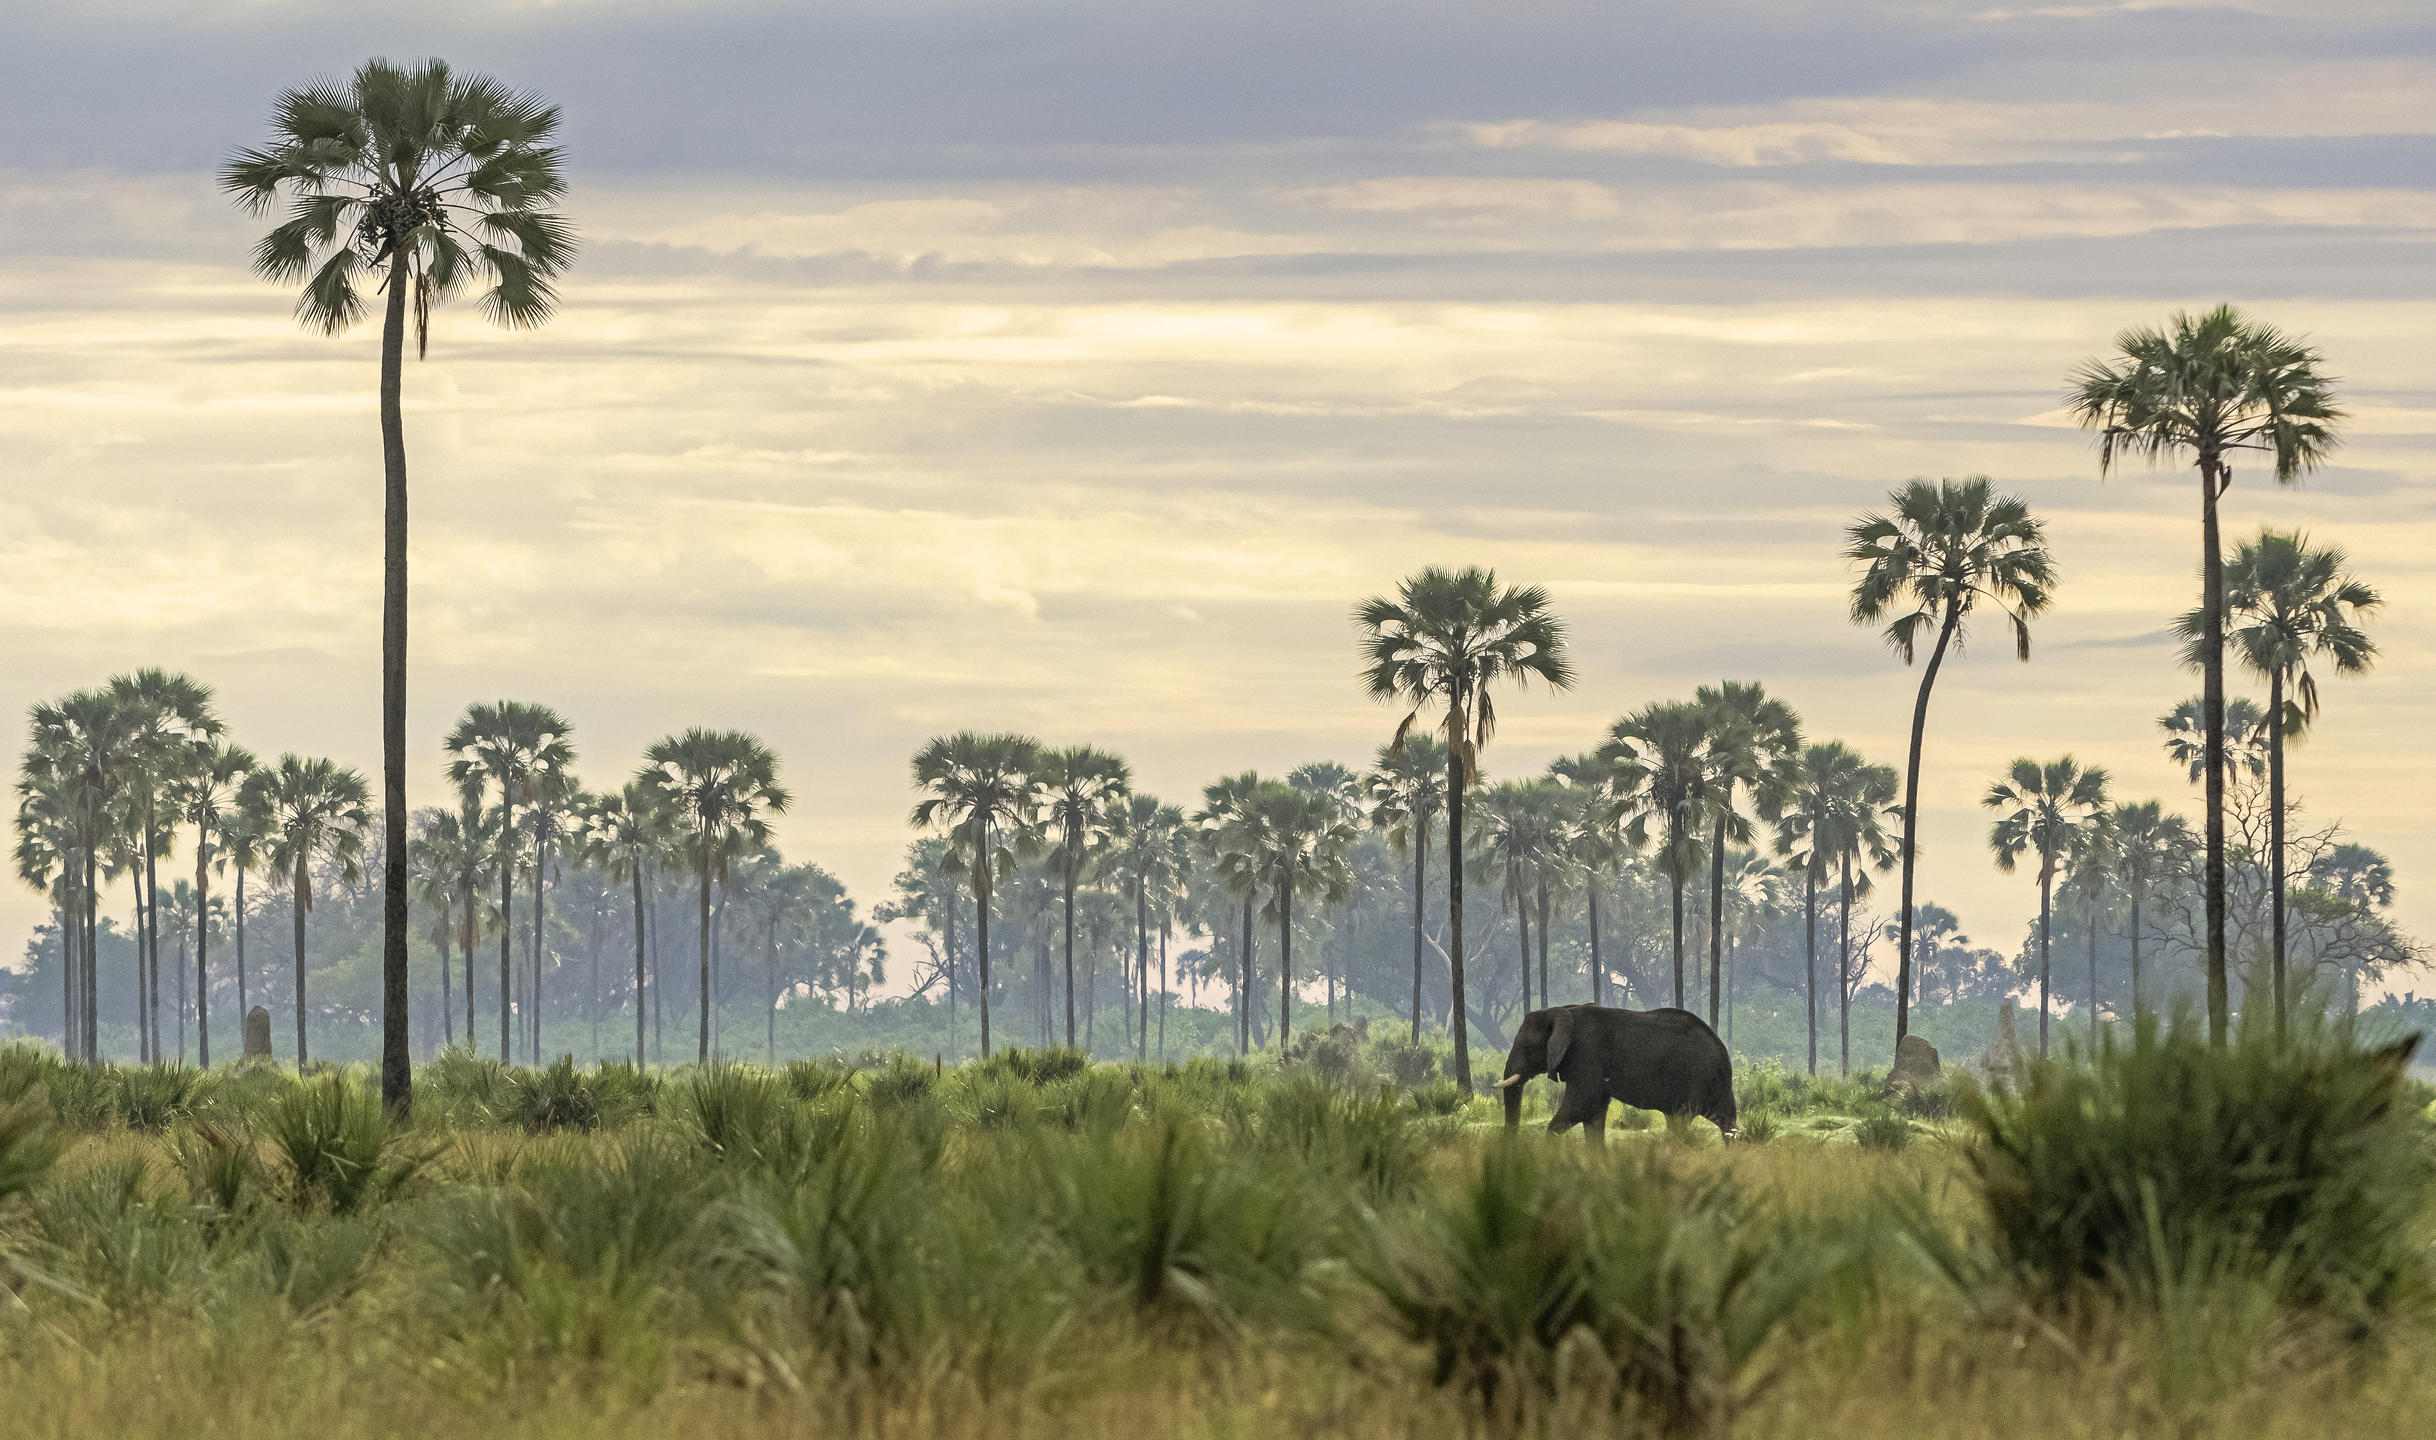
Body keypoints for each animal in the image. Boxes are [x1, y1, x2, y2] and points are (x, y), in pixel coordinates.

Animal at [1481, 1008, 1734, 1145]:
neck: (1562, 1011)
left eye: (1528, 1047)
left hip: (1697, 1077)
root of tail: (1722, 1050)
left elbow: (1582, 1105)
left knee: (1682, 1118)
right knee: (1723, 1121)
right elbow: (1593, 1115)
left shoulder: (1587, 1053)